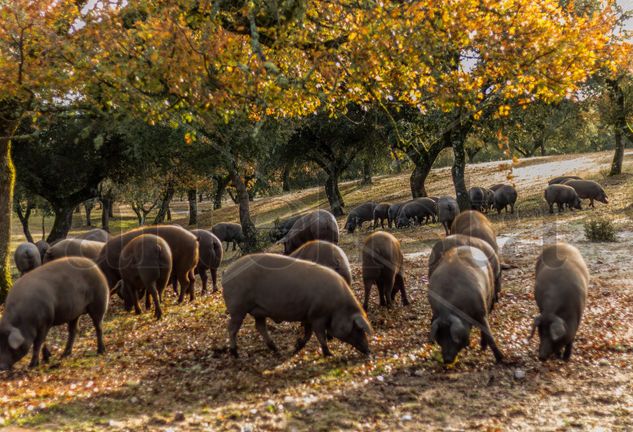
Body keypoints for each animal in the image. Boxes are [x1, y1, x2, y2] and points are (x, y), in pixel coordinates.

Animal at [222, 253, 372, 358]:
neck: (338, 306)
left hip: (258, 311)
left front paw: (296, 347)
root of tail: (226, 273)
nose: (369, 351)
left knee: (259, 327)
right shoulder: (317, 315)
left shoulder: (309, 315)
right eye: (358, 328)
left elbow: (308, 334)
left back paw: (276, 350)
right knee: (232, 328)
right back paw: (235, 354)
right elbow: (319, 335)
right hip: (237, 308)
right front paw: (329, 354)